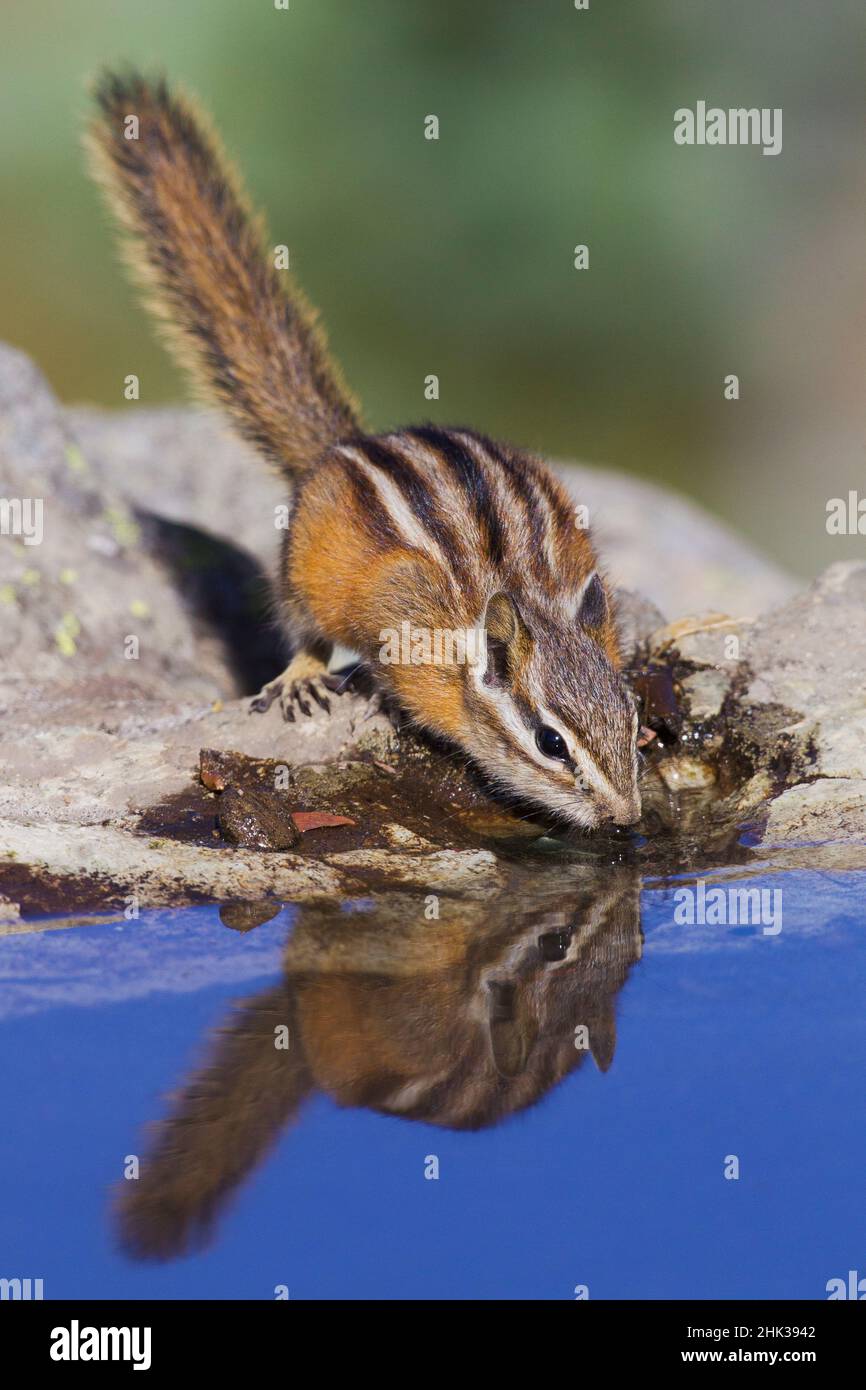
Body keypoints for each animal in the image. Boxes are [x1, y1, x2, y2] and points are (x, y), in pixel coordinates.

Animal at [87, 70, 641, 832]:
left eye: (632, 716)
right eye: (550, 742)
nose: (626, 819)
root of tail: (347, 441)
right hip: (300, 571)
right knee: (302, 625)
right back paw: (304, 676)